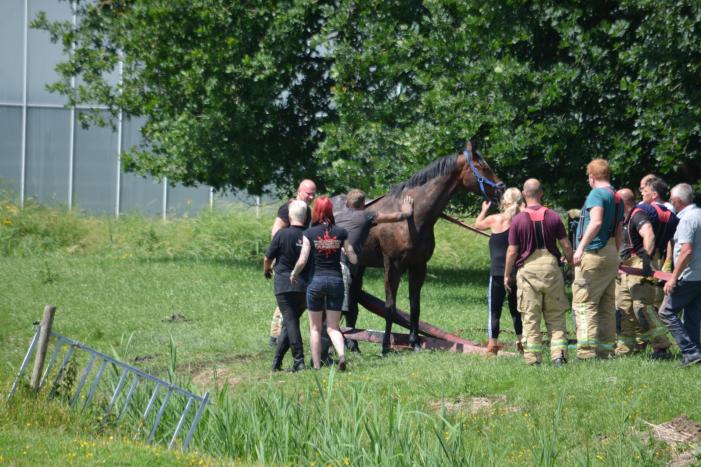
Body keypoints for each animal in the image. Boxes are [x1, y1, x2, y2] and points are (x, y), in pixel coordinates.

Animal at [341, 142, 504, 354]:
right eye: (482, 166)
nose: (502, 189)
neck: (413, 218)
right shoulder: (392, 266)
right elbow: (390, 306)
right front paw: (385, 346)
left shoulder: (418, 266)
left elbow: (415, 305)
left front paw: (415, 343)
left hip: (358, 267)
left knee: (351, 304)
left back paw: (353, 345)